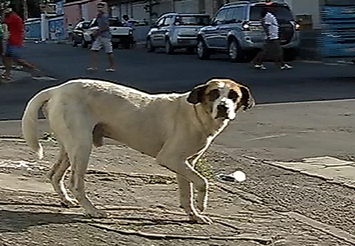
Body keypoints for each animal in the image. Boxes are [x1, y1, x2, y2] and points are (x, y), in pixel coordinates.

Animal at [22, 78, 254, 224]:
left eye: (233, 95)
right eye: (214, 93)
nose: (224, 107)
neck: (196, 114)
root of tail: (56, 89)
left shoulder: (185, 164)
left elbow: (186, 193)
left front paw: (194, 215)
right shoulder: (170, 159)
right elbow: (203, 182)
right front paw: (202, 204)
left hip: (70, 147)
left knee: (54, 174)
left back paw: (66, 200)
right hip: (82, 146)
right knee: (75, 183)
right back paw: (92, 210)